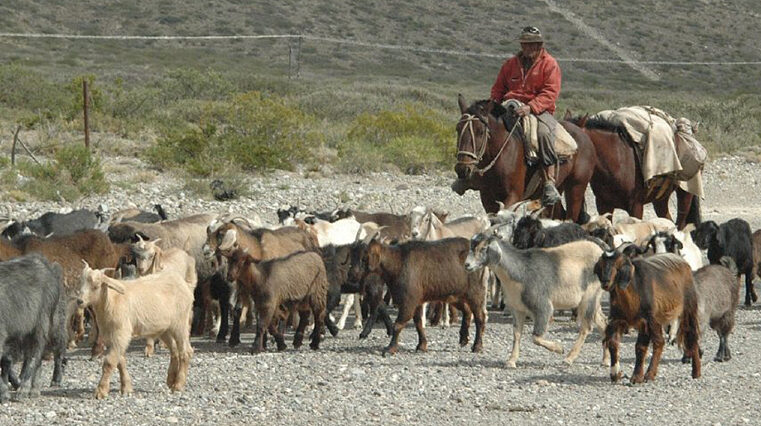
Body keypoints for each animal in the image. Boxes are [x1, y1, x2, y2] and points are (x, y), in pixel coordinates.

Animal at [352, 238, 486, 354]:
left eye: (364, 258)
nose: (352, 274)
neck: (398, 263)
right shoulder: (416, 303)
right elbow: (418, 324)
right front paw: (422, 345)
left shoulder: (408, 302)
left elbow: (398, 325)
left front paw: (390, 348)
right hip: (455, 296)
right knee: (467, 311)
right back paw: (463, 338)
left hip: (475, 294)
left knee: (479, 318)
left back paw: (477, 346)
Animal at [452, 95, 592, 223]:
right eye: (457, 129)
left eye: (480, 131)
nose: (462, 169)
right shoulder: (487, 198)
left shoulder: (513, 196)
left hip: (576, 188)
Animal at [464, 236, 604, 366]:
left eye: (483, 248)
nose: (467, 265)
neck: (521, 273)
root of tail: (600, 251)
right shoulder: (517, 309)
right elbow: (517, 334)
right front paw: (511, 361)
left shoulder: (543, 307)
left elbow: (535, 337)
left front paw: (559, 348)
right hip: (594, 299)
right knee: (603, 322)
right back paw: (605, 361)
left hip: (588, 297)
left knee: (586, 327)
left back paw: (569, 358)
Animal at [564, 111, 700, 228]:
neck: (617, 161)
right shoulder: (603, 205)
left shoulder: (636, 206)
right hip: (660, 199)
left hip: (685, 194)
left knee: (681, 223)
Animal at [592, 248, 700, 384]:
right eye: (601, 266)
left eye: (618, 267)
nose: (606, 282)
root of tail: (684, 263)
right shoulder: (617, 319)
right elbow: (612, 342)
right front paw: (615, 374)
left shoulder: (646, 320)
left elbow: (640, 347)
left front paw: (637, 377)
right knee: (661, 342)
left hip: (686, 309)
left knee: (689, 336)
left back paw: (695, 372)